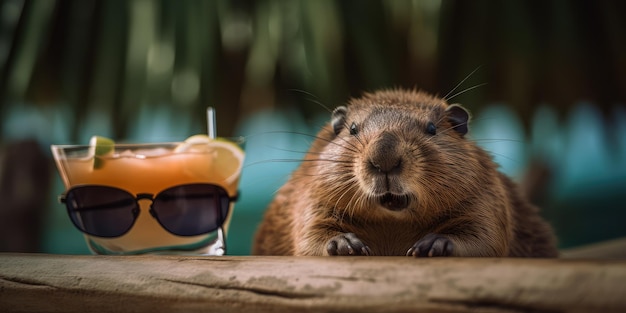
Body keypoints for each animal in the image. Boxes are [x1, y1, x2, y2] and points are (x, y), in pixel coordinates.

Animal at [251, 88, 560, 256]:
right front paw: (344, 243)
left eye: (432, 128)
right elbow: (309, 235)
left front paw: (433, 244)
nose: (384, 159)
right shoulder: (310, 194)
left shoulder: (486, 194)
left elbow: (486, 237)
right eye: (353, 129)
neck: (393, 222)